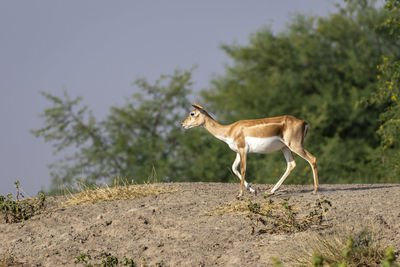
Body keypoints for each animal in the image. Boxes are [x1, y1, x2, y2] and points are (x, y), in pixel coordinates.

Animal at [182, 104, 318, 199]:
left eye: (192, 113)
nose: (183, 124)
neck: (229, 130)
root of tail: (304, 123)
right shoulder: (238, 151)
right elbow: (234, 168)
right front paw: (253, 190)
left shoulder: (243, 150)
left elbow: (243, 169)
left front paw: (240, 194)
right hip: (285, 148)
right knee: (291, 164)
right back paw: (271, 191)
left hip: (295, 145)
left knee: (312, 159)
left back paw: (315, 190)